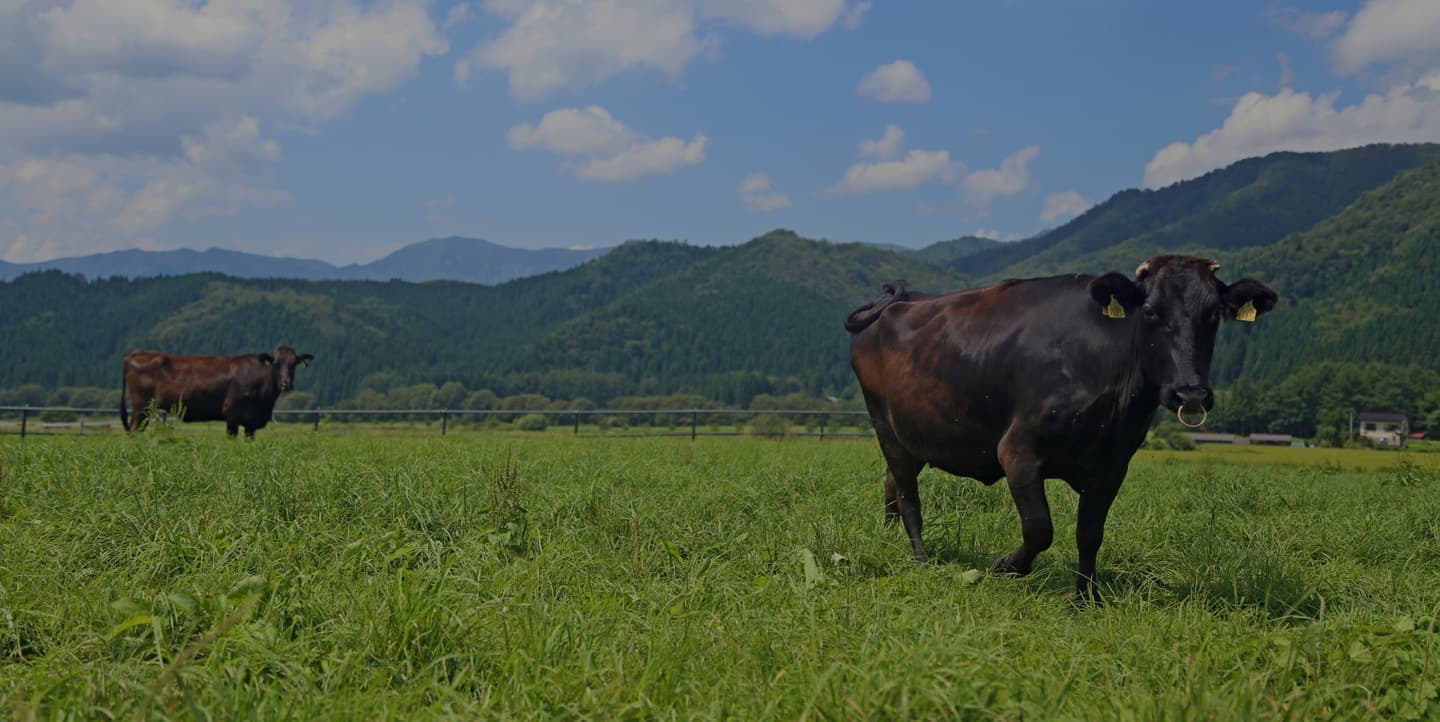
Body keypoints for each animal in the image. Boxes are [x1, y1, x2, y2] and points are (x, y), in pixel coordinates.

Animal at [119, 344, 313, 438]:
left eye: (293, 364)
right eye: (276, 364)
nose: (286, 384)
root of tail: (135, 355)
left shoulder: (251, 422)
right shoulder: (232, 414)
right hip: (141, 407)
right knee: (134, 430)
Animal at [840, 255, 1272, 596]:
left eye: (1212, 314)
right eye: (1150, 311)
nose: (1190, 393)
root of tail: (902, 299)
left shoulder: (1111, 468)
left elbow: (1090, 535)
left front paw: (1086, 596)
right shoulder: (1018, 452)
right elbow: (1039, 528)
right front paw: (1005, 566)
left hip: (913, 436)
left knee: (892, 485)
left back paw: (888, 536)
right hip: (885, 426)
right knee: (908, 497)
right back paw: (921, 558)